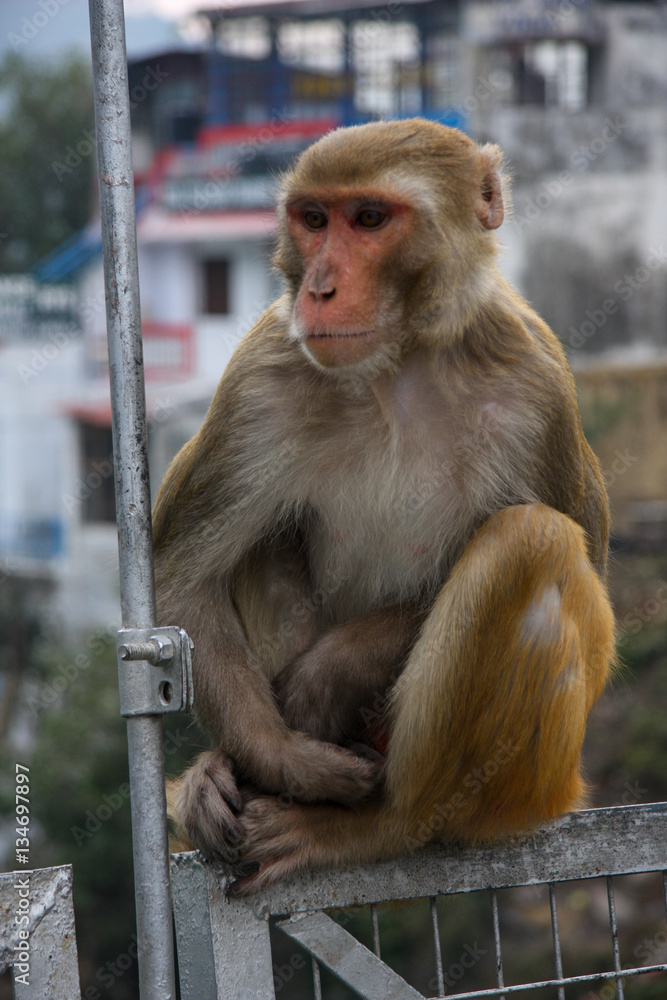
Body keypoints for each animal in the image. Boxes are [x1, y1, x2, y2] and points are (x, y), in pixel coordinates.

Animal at [154, 118, 615, 894]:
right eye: (314, 220)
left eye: (369, 219)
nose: (319, 288)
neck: (399, 364)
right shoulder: (260, 375)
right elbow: (183, 579)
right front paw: (285, 757)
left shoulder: (537, 384)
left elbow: (588, 569)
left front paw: (333, 671)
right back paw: (223, 780)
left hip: (535, 784)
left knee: (531, 539)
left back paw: (378, 826)